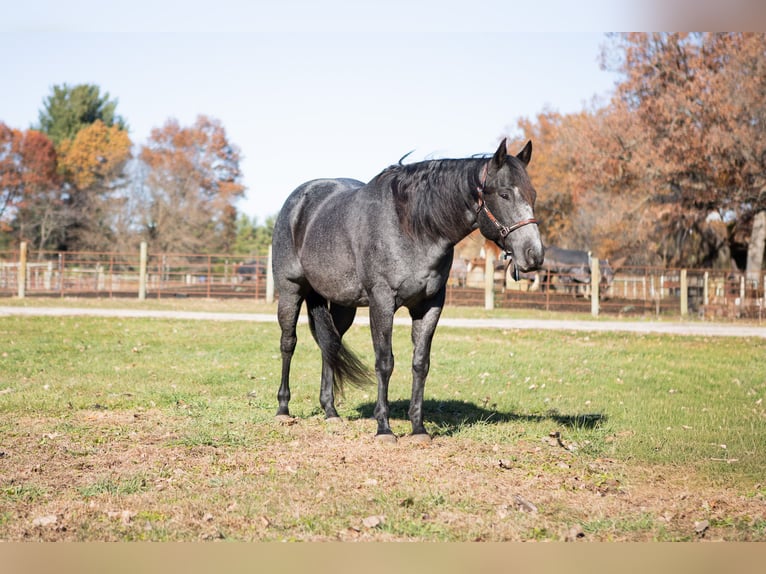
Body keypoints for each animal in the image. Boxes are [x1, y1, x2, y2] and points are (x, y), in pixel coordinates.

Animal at [271, 139, 544, 442]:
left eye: (533, 194)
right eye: (505, 194)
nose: (534, 255)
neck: (412, 227)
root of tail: (298, 201)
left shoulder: (430, 305)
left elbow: (420, 363)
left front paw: (418, 428)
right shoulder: (382, 302)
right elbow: (385, 362)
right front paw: (384, 428)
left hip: (342, 304)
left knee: (329, 344)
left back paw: (331, 412)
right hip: (291, 290)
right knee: (288, 343)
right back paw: (283, 410)